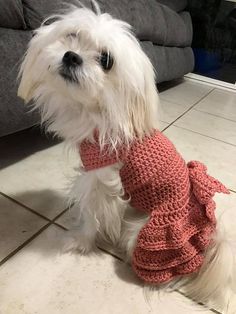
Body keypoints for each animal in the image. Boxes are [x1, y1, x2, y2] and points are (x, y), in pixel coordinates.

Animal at [17, 2, 235, 310]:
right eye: (72, 36)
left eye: (106, 60)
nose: (71, 56)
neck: (99, 113)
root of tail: (211, 240)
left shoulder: (99, 182)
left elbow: (91, 216)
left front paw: (80, 241)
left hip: (144, 235)